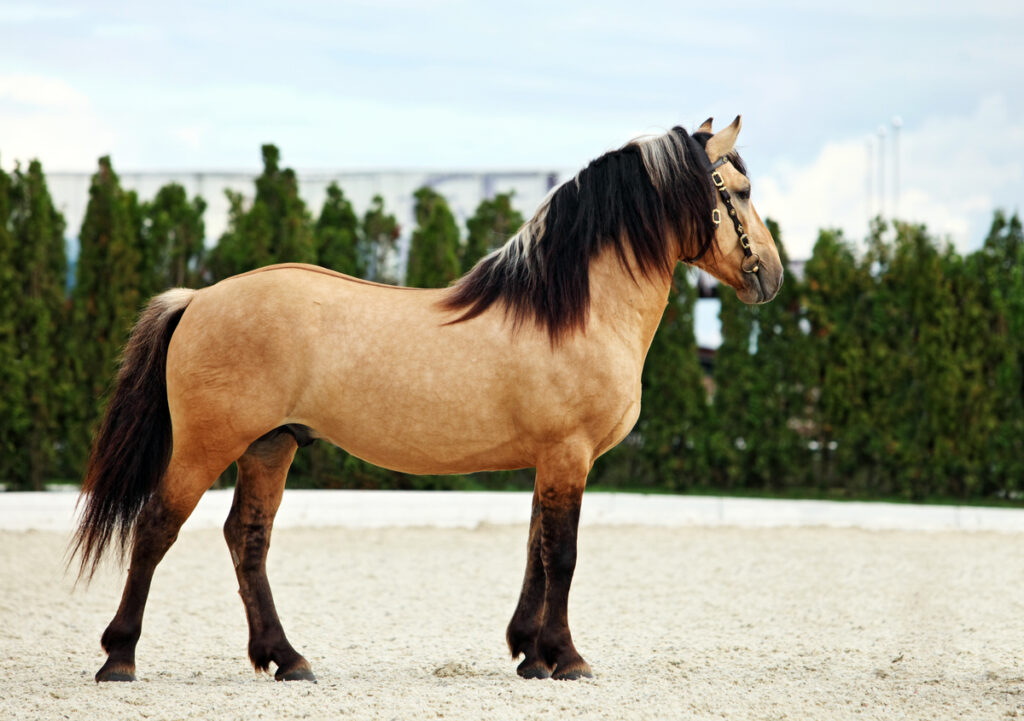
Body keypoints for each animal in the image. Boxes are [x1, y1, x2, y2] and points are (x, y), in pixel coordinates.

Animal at [72, 115, 778, 684]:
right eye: (739, 191)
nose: (769, 275)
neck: (573, 311)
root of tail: (197, 298)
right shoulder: (568, 455)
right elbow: (563, 554)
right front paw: (567, 658)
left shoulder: (550, 462)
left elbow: (536, 548)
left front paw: (530, 654)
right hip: (207, 444)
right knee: (156, 527)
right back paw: (119, 658)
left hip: (270, 446)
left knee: (247, 538)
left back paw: (288, 659)